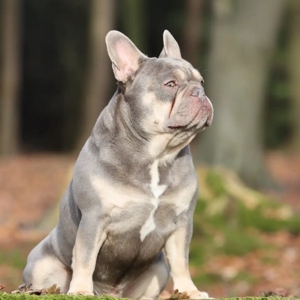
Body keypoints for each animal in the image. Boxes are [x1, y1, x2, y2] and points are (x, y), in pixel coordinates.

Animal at [23, 29, 214, 298]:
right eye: (170, 84)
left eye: (202, 82)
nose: (200, 92)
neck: (156, 156)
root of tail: (110, 293)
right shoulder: (94, 218)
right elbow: (85, 257)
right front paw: (80, 290)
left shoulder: (182, 221)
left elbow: (181, 261)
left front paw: (189, 291)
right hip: (41, 264)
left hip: (158, 269)